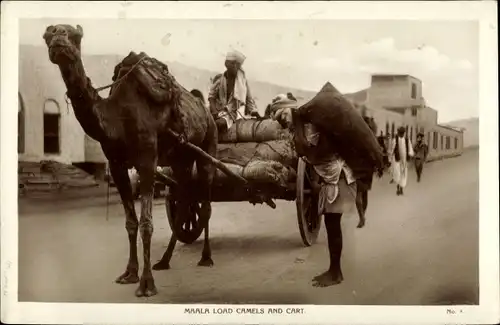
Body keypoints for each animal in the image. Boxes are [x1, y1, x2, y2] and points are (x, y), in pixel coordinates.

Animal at [44, 22, 220, 296]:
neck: (117, 118)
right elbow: (130, 222)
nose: (59, 39)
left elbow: (147, 223)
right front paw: (129, 273)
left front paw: (146, 284)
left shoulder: (147, 161)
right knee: (185, 201)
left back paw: (206, 257)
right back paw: (164, 260)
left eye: (75, 35)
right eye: (48, 34)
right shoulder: (117, 166)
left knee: (207, 202)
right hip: (180, 158)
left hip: (208, 147)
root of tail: (206, 110)